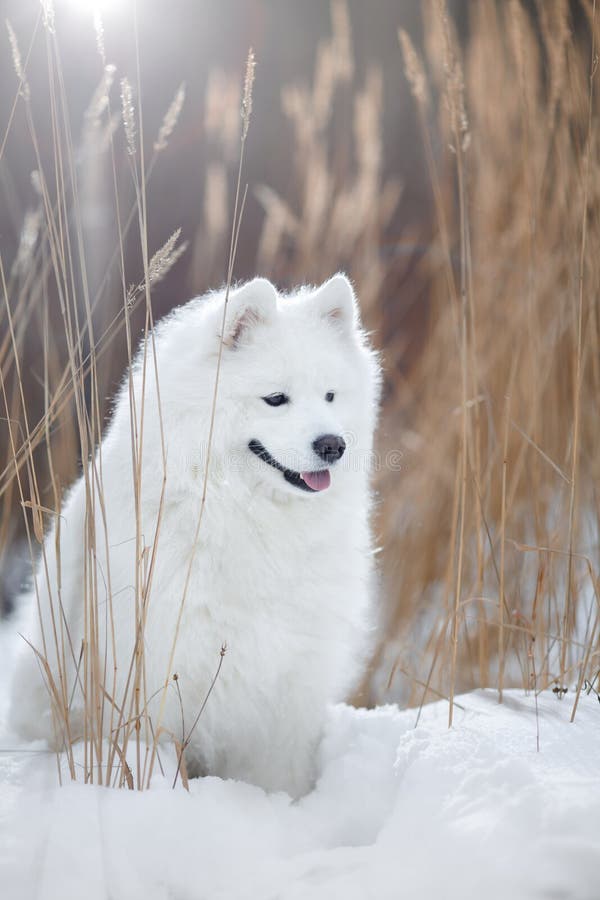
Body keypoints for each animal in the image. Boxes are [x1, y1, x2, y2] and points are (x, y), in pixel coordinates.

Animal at [9, 272, 380, 796]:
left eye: (330, 396)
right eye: (276, 398)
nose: (333, 445)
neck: (247, 514)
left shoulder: (286, 690)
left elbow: (277, 774)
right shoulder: (156, 672)